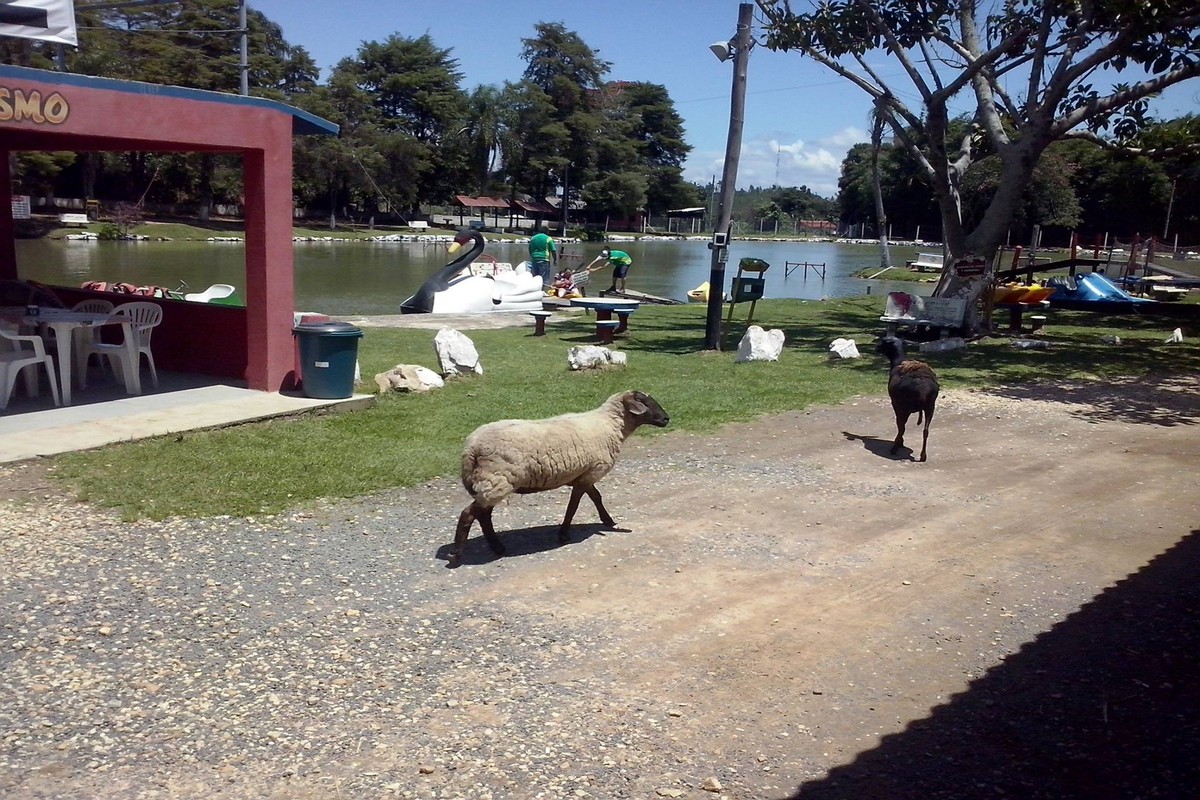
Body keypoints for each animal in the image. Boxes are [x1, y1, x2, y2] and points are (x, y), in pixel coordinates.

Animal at [451, 391, 672, 566]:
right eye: (645, 402)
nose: (666, 419)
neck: (610, 425)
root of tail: (471, 449)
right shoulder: (591, 472)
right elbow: (573, 506)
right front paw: (564, 534)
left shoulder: (585, 474)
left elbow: (596, 497)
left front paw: (608, 520)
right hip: (497, 480)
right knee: (469, 514)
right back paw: (456, 556)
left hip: (490, 483)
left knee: (483, 515)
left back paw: (497, 547)